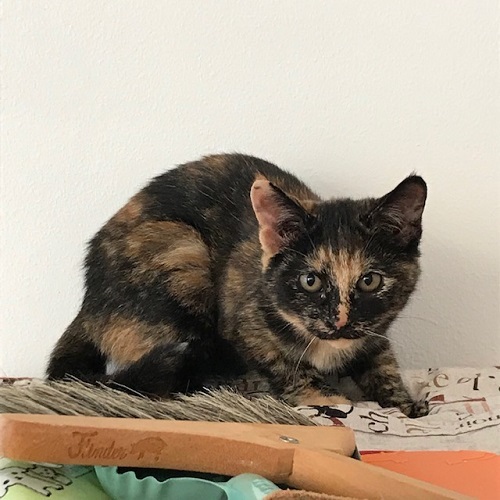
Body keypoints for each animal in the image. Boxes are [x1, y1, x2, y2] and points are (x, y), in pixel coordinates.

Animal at [47, 153, 428, 417]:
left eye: (369, 280)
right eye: (310, 280)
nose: (340, 321)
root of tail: (87, 303)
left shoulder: (375, 331)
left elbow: (382, 362)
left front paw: (405, 403)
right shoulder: (241, 318)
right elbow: (282, 362)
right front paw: (323, 397)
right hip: (180, 249)